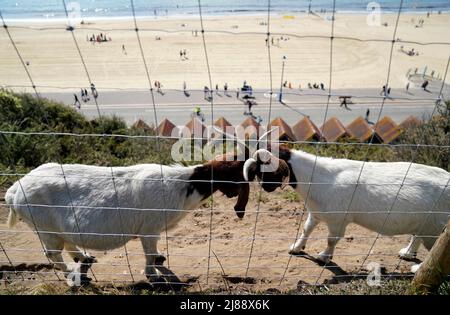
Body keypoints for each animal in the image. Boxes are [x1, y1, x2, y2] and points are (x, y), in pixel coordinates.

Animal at [246, 147, 450, 266]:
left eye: (265, 167)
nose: (265, 187)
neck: (318, 178)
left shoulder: (338, 220)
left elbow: (331, 240)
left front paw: (323, 257)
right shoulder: (316, 212)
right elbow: (306, 229)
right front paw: (296, 247)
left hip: (436, 226)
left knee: (433, 249)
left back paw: (418, 268)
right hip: (425, 222)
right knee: (417, 236)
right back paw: (407, 253)